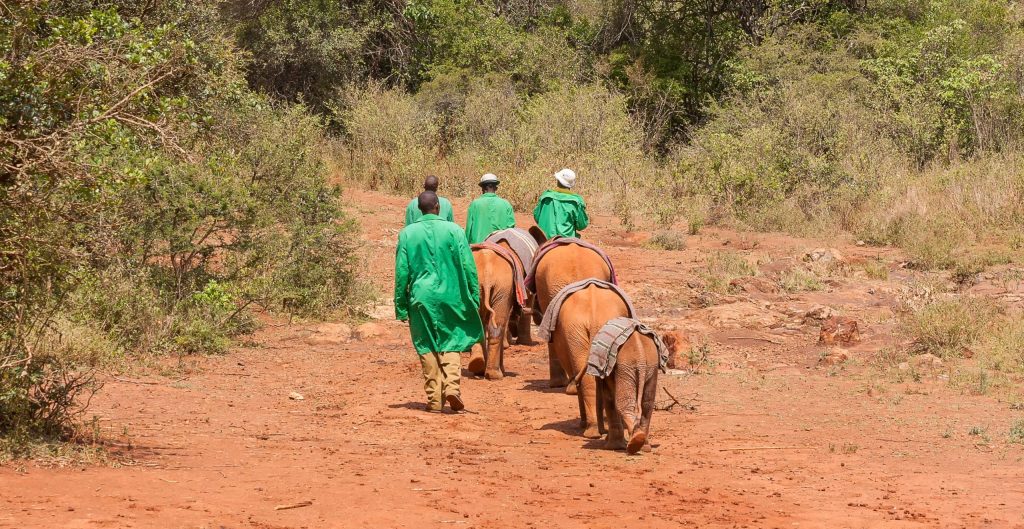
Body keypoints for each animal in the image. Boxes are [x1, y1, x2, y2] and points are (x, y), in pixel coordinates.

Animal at [468, 246, 516, 380]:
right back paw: (495, 375)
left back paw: (478, 367)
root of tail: (487, 274)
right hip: (503, 287)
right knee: (497, 325)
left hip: (480, 287)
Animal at [550, 284, 630, 438]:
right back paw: (594, 431)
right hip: (576, 331)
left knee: (585, 378)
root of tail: (593, 316)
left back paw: (592, 430)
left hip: (574, 330)